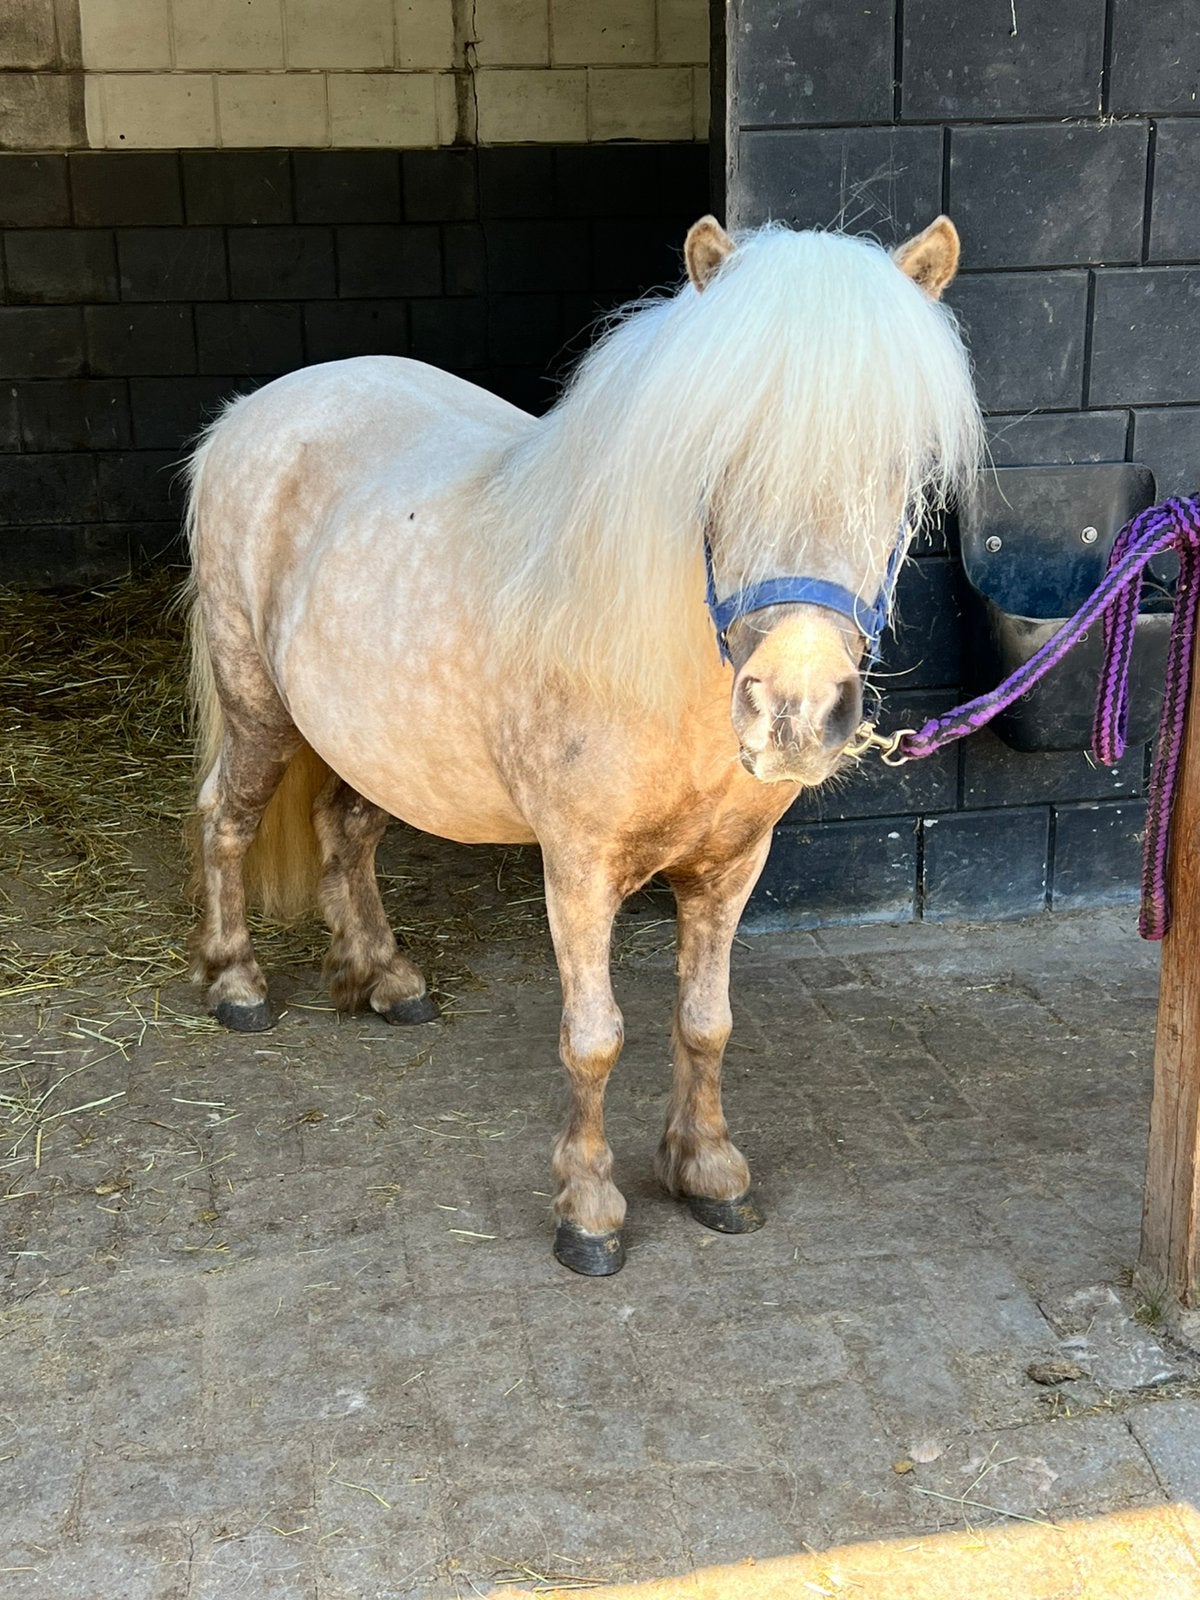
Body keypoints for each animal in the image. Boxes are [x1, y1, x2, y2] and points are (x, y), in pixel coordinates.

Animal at [184, 213, 981, 1275]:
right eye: (716, 460)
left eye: (896, 469)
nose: (794, 711)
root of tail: (252, 413)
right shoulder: (578, 867)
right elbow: (594, 1038)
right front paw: (590, 1209)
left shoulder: (731, 867)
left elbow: (706, 1022)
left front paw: (707, 1169)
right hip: (257, 707)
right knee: (226, 821)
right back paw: (236, 981)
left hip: (378, 747)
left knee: (342, 830)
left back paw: (383, 977)